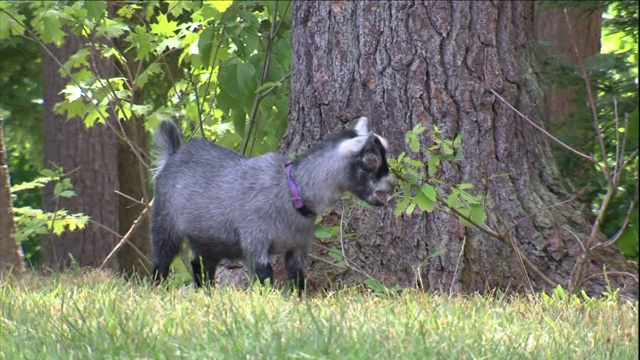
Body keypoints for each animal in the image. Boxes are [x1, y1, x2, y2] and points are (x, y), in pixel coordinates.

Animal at [151, 116, 396, 292]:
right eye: (371, 161)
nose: (392, 184)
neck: (290, 191)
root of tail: (173, 155)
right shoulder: (255, 242)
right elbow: (265, 279)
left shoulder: (298, 248)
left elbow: (298, 281)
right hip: (165, 221)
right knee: (161, 260)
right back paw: (156, 289)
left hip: (209, 238)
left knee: (199, 265)